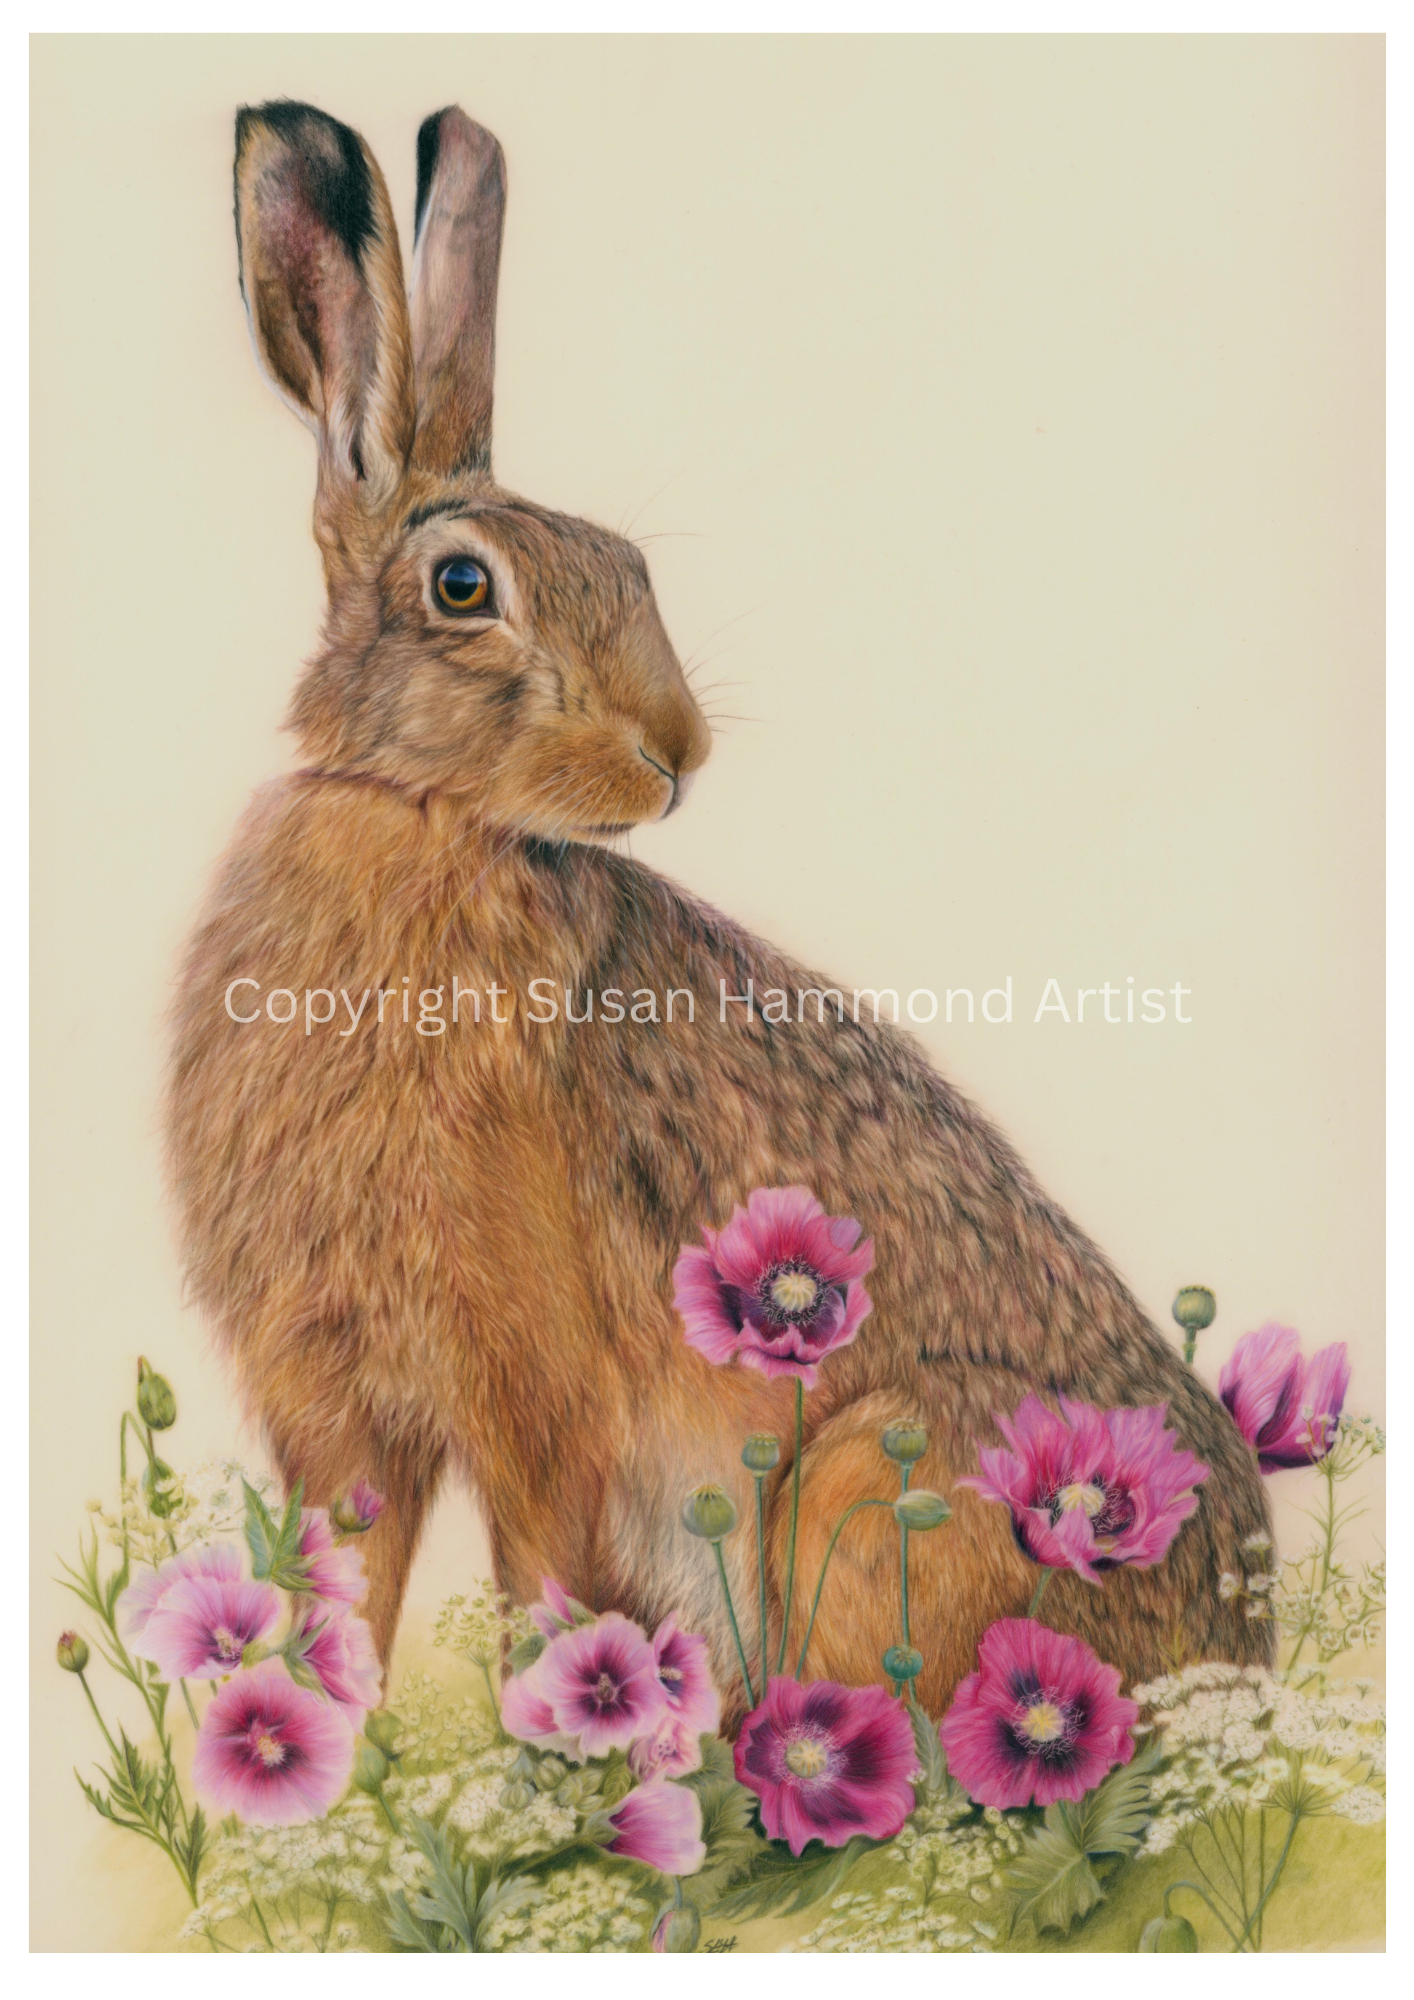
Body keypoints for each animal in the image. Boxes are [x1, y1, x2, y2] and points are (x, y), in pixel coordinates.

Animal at [167, 99, 1274, 1727]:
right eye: (460, 586)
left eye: (630, 567)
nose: (676, 751)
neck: (420, 814)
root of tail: (1246, 1659)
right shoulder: (342, 1408)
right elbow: (341, 1609)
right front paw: (312, 1777)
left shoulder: (537, 1398)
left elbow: (541, 1601)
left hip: (873, 1490)